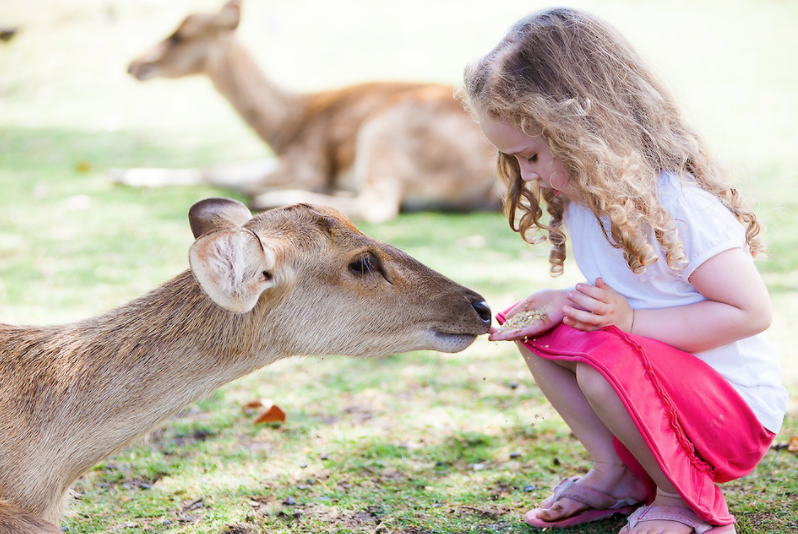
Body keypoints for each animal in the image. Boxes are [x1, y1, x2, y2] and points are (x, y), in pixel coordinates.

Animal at [119, 0, 504, 223]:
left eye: (179, 36)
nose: (134, 65)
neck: (286, 123)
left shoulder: (304, 161)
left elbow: (239, 178)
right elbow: (215, 169)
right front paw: (122, 175)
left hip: (384, 131)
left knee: (379, 206)